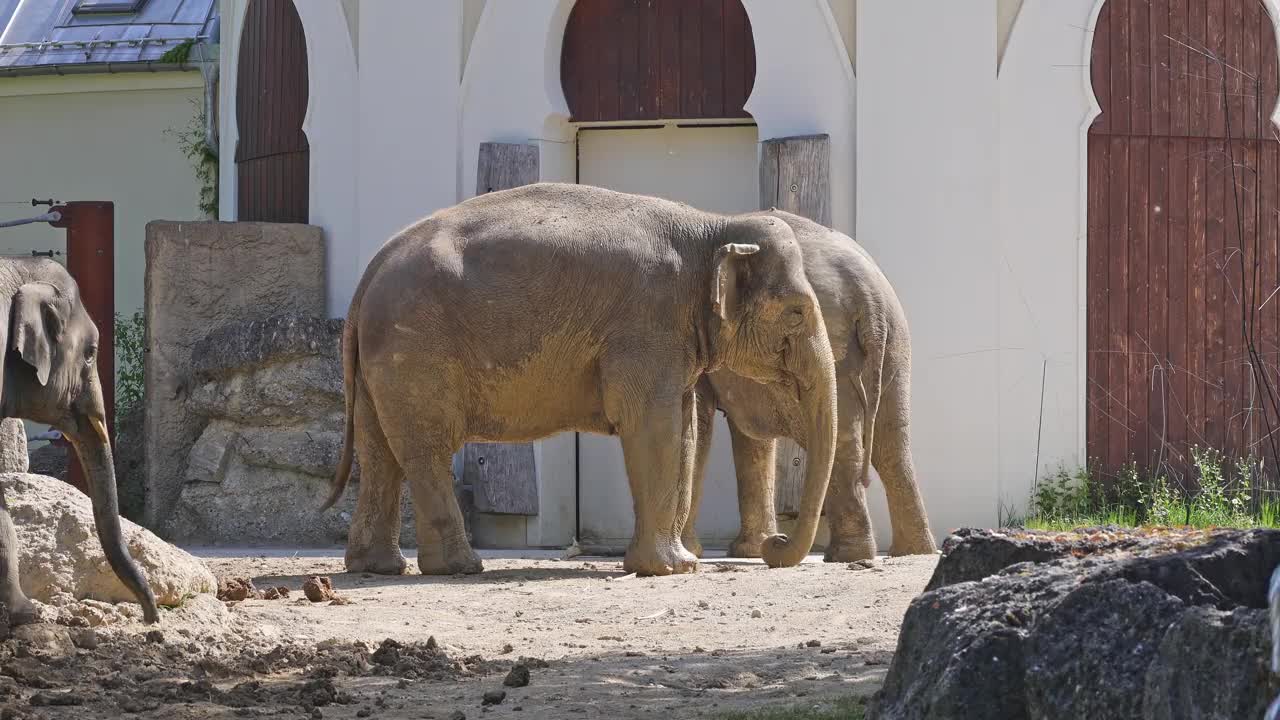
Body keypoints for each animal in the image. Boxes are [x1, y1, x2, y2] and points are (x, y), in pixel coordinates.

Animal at [320, 181, 839, 573]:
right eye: (797, 312)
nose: (775, 546)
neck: (713, 226)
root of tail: (370, 271)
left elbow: (685, 429)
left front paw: (683, 565)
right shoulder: (646, 323)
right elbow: (653, 427)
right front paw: (667, 569)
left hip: (383, 358)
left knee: (379, 451)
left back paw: (378, 568)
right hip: (417, 348)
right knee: (425, 449)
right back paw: (460, 567)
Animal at [680, 210, 942, 563]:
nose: (776, 541)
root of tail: (869, 296)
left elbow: (701, 417)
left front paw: (697, 552)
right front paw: (750, 550)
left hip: (839, 342)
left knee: (841, 440)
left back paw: (848, 555)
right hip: (895, 346)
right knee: (892, 443)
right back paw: (912, 552)